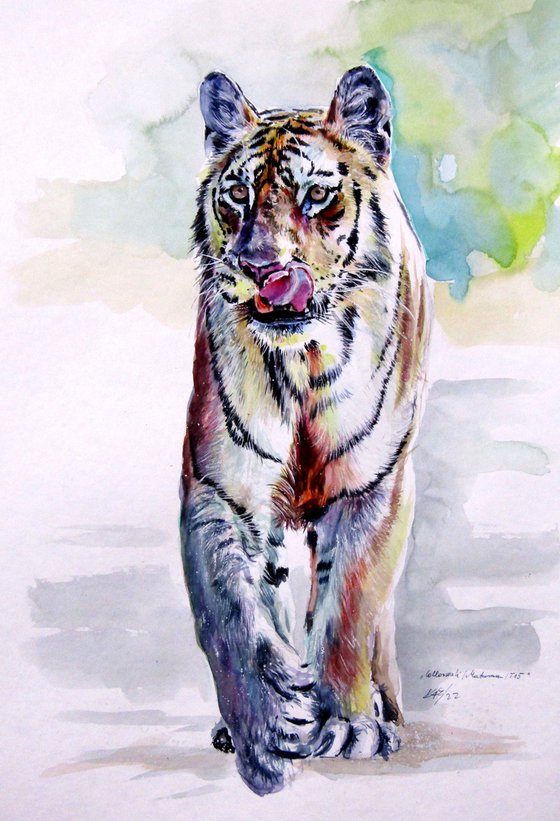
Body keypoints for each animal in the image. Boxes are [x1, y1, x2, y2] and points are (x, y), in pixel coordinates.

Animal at [180, 65, 431, 795]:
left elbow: (347, 609)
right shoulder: (221, 489)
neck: (304, 366)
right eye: (237, 196)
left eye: (316, 195)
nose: (260, 265)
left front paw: (347, 723)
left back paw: (381, 707)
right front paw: (266, 724)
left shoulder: (375, 487)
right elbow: (230, 612)